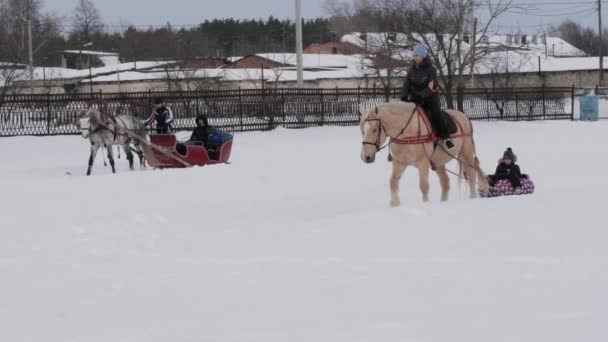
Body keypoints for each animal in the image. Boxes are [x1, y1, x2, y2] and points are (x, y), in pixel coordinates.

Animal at [360, 100, 490, 207]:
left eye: (374, 129)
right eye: (362, 130)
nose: (366, 157)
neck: (407, 132)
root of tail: (464, 117)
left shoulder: (423, 163)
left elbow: (424, 186)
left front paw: (426, 204)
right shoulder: (399, 162)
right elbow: (393, 182)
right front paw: (395, 205)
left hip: (466, 154)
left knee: (471, 175)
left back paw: (473, 198)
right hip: (438, 163)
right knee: (445, 183)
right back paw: (443, 202)